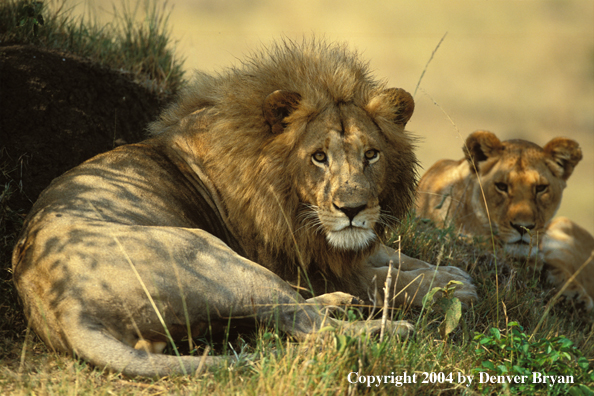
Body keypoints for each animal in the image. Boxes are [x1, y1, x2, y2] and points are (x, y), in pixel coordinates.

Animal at [13, 40, 474, 378]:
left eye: (372, 154)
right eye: (319, 157)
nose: (352, 208)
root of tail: (63, 306)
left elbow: (390, 256)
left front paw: (450, 275)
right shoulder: (299, 260)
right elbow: (383, 279)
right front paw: (448, 290)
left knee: (294, 314)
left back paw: (340, 302)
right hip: (217, 258)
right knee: (311, 328)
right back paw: (387, 329)